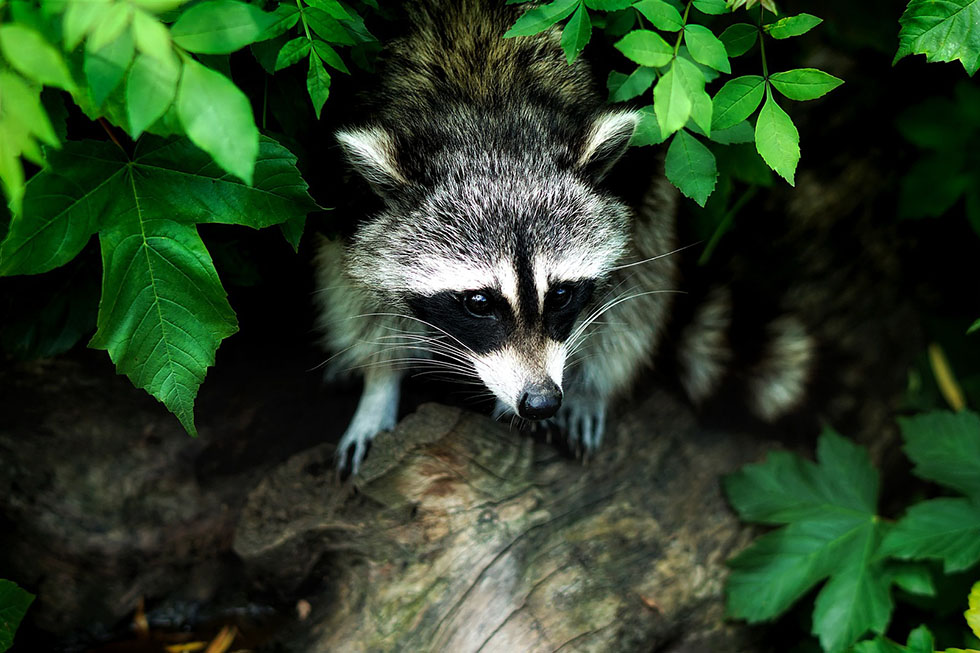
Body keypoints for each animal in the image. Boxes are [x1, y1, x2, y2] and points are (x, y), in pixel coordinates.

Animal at [320, 0, 820, 472]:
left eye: (560, 294)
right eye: (479, 303)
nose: (541, 401)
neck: (487, 111)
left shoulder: (632, 175)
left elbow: (633, 282)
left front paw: (586, 386)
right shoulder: (347, 199)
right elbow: (355, 290)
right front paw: (379, 383)